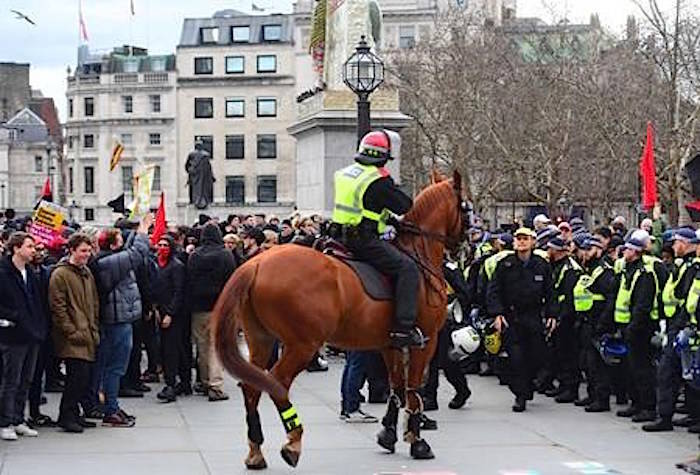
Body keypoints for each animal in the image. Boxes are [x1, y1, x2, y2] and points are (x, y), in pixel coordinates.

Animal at [211, 171, 468, 468]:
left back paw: (256, 451)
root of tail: (256, 264)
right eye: (466, 206)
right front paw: (417, 441)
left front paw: (388, 433)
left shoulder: (390, 343)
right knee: (277, 381)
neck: (417, 254)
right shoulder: (425, 341)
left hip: (260, 338)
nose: (461, 245)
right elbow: (413, 389)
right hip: (303, 345)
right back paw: (293, 442)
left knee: (252, 386)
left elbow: (397, 386)